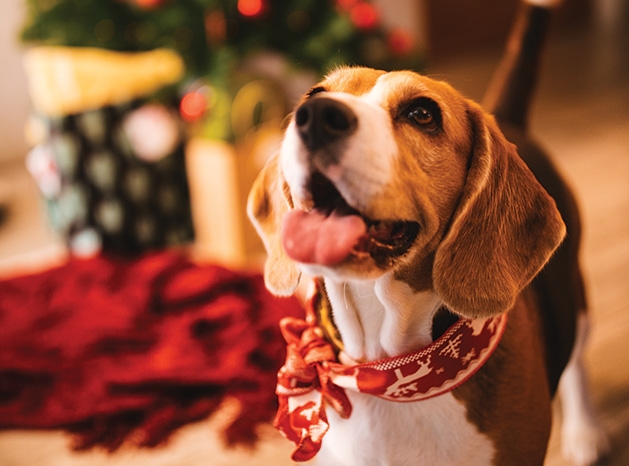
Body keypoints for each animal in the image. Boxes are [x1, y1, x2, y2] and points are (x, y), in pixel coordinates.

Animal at [247, 1, 608, 464]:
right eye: (314, 94)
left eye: (422, 114)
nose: (317, 116)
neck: (388, 372)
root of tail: (508, 121)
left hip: (577, 300)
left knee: (578, 360)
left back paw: (585, 431)